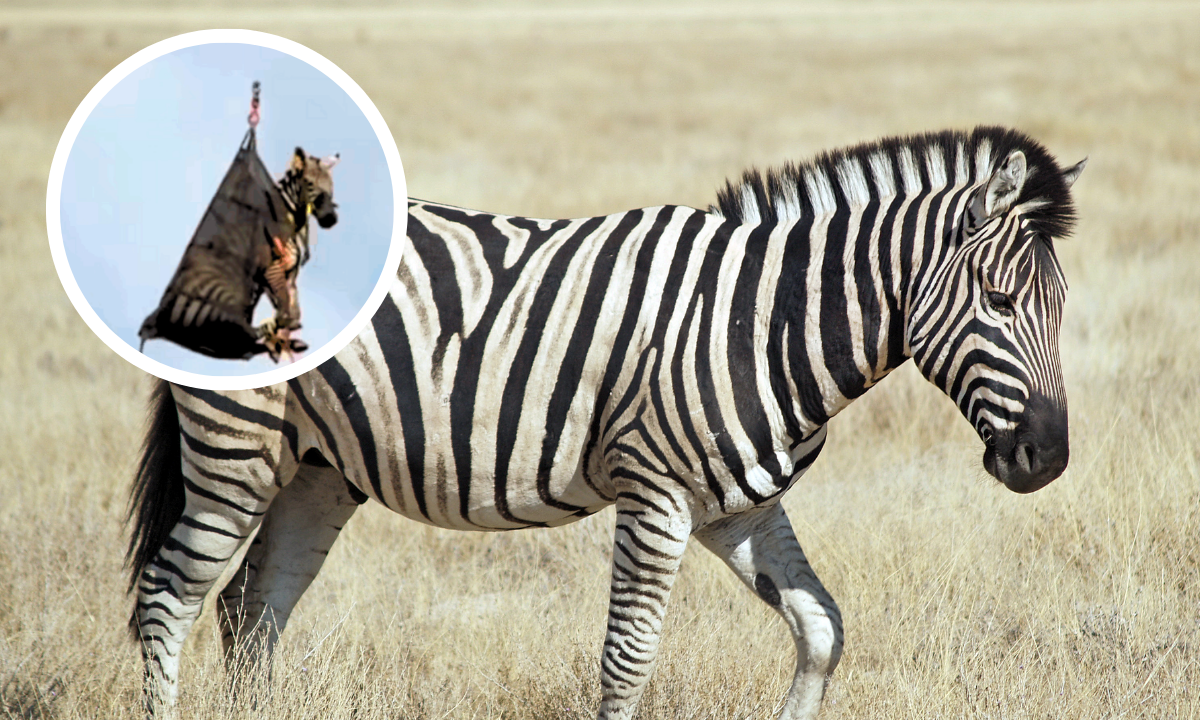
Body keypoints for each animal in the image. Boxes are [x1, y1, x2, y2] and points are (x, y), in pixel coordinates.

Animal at [127, 126, 1085, 719]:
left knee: (251, 613)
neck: (762, 322)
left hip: (319, 468)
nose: (1047, 461)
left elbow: (821, 629)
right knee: (168, 600)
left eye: (1062, 307)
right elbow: (628, 662)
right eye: (1000, 302)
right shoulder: (654, 495)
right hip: (237, 450)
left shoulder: (741, 508)